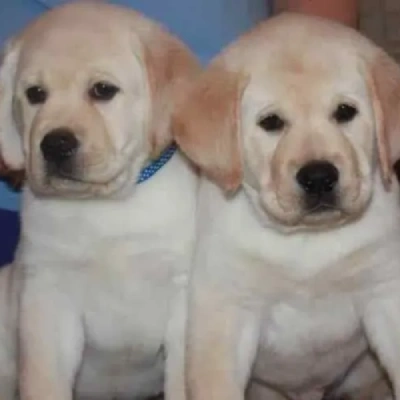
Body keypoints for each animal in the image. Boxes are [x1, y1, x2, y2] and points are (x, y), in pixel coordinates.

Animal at [0, 1, 200, 398]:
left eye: (103, 90)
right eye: (35, 94)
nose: (55, 144)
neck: (106, 210)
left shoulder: (183, 292)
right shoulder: (47, 297)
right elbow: (44, 381)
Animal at [173, 11, 400, 400]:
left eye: (345, 112)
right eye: (271, 122)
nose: (319, 177)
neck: (307, 241)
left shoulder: (386, 290)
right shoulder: (225, 312)